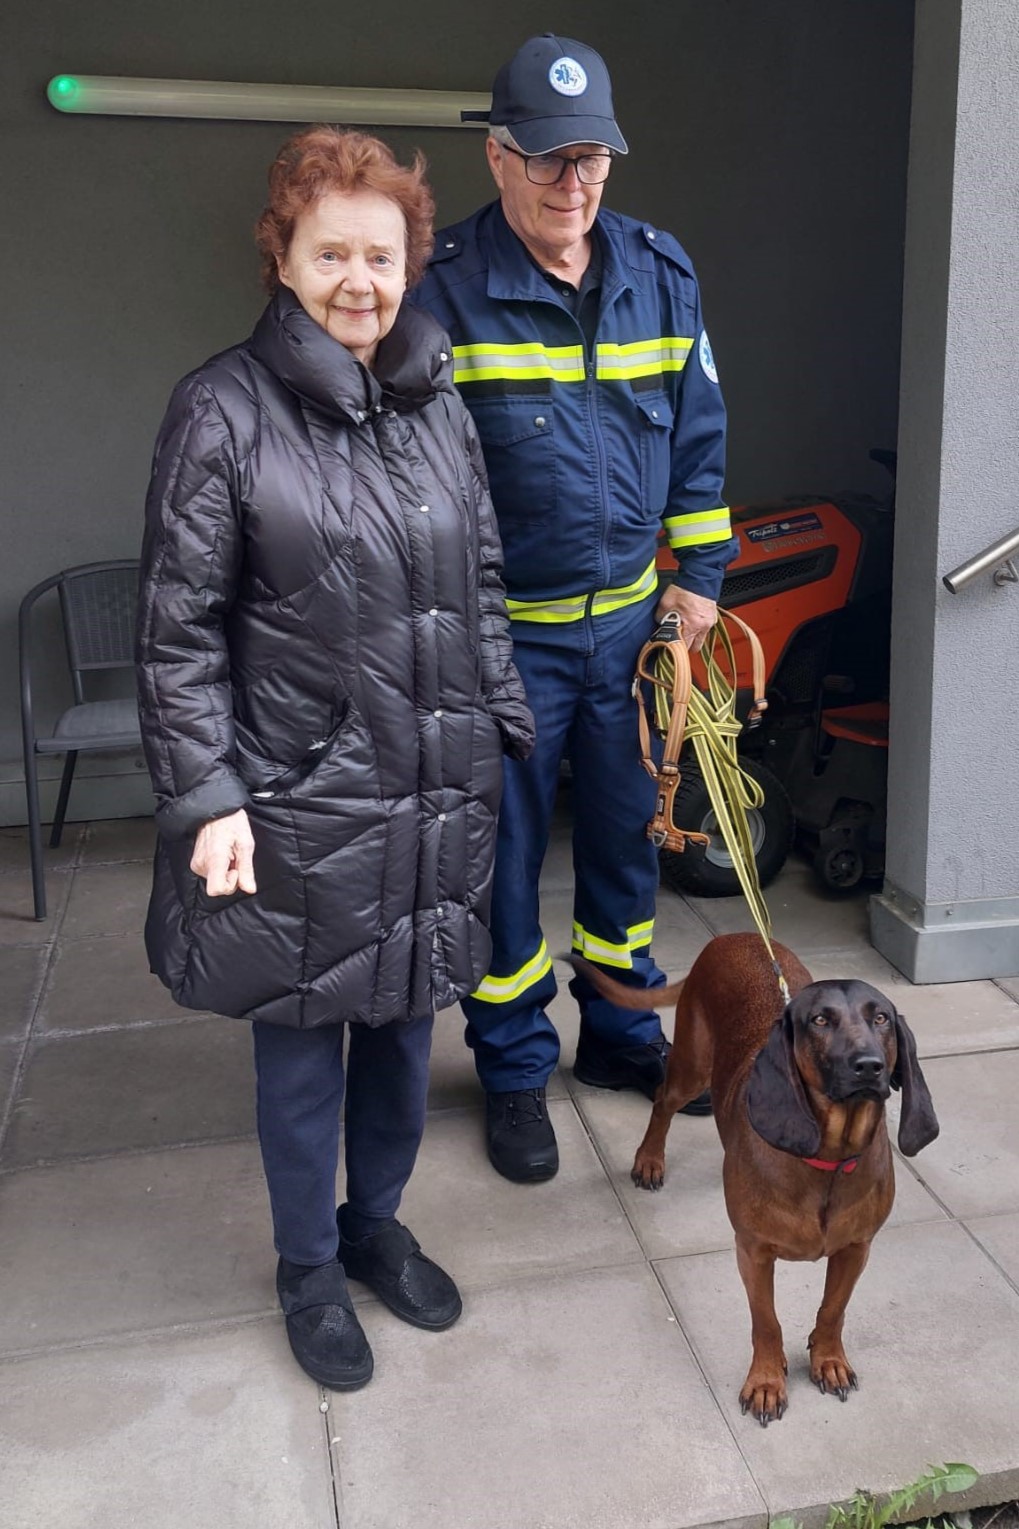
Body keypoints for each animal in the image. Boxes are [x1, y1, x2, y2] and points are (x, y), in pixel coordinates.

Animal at [571, 932, 938, 1425]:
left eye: (880, 1017)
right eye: (820, 1020)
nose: (869, 1066)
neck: (827, 1158)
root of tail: (732, 937)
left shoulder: (856, 1250)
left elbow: (833, 1309)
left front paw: (828, 1359)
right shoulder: (754, 1254)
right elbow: (766, 1322)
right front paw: (766, 1381)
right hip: (692, 1067)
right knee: (664, 1100)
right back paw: (650, 1158)